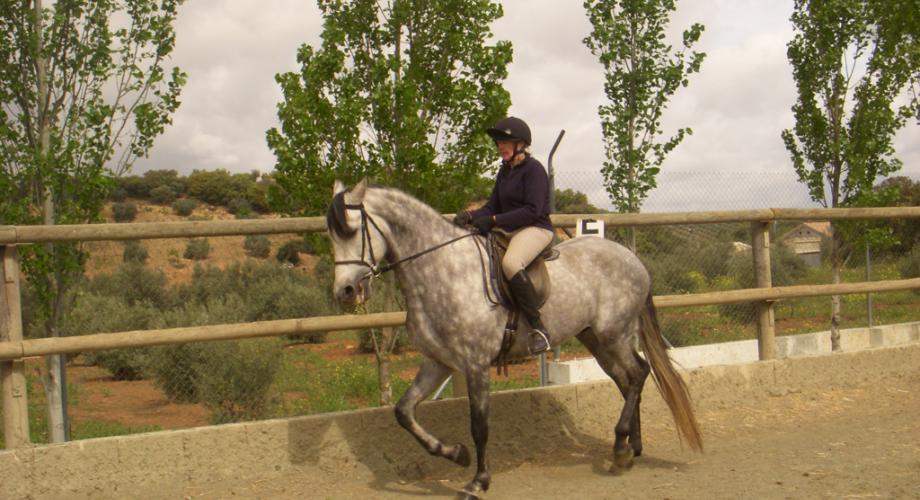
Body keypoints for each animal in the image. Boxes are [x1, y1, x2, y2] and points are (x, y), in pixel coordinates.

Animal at [328, 180, 700, 496]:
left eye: (354, 230)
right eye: (332, 234)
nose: (345, 292)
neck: (442, 271)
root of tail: (631, 257)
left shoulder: (475, 364)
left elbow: (479, 426)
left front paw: (478, 481)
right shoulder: (438, 363)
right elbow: (404, 412)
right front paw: (456, 454)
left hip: (614, 334)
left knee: (638, 374)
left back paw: (623, 448)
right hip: (595, 338)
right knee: (627, 380)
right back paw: (630, 450)